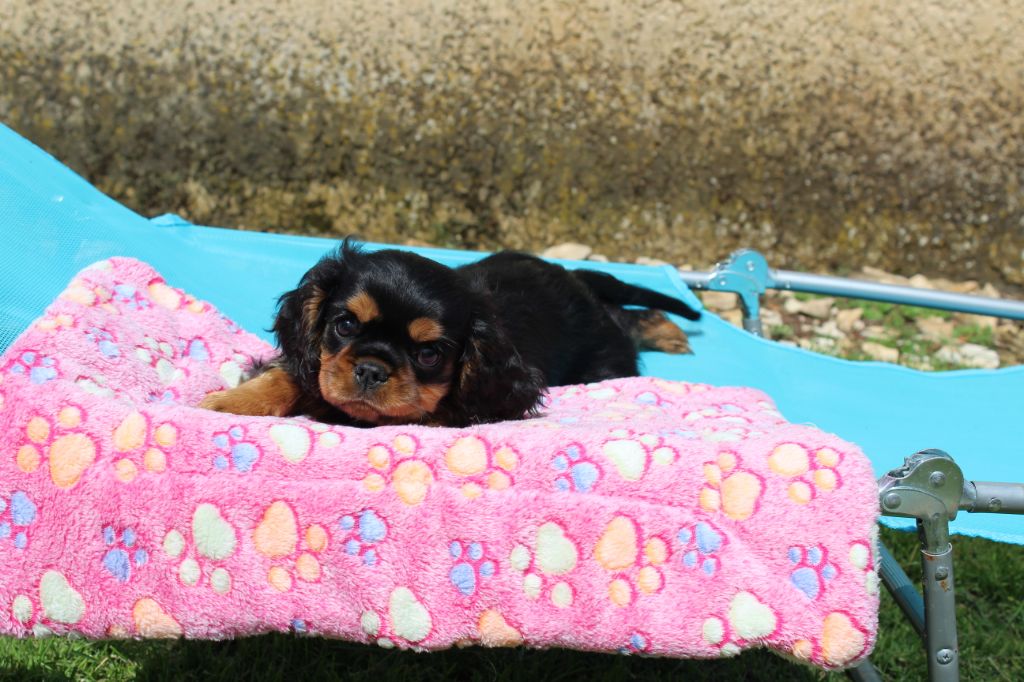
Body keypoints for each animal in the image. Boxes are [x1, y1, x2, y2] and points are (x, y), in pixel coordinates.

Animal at [196, 240, 700, 425]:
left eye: (429, 354)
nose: (370, 370)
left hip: (603, 363)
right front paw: (233, 403)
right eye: (345, 325)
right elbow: (293, 373)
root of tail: (571, 276)